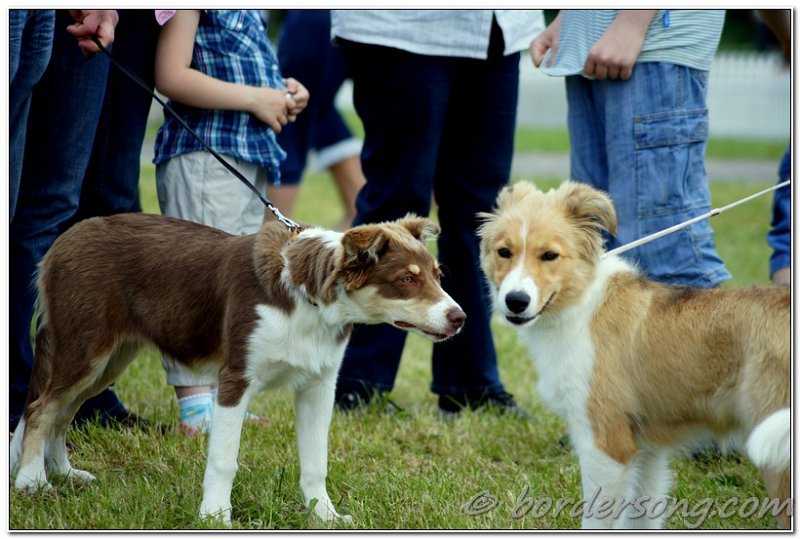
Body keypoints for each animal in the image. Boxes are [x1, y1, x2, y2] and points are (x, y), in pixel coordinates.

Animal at [10, 213, 468, 524]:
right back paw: (33, 482)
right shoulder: (235, 380)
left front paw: (324, 515)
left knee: (61, 411)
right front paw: (214, 516)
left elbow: (316, 461)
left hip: (108, 359)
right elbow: (224, 459)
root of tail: (63, 240)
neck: (308, 300)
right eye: (406, 280)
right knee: (41, 409)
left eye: (437, 274)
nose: (460, 318)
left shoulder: (320, 386)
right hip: (84, 348)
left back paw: (64, 473)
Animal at [478, 182, 792, 532]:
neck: (580, 300)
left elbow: (596, 520)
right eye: (504, 252)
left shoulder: (605, 444)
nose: (515, 301)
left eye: (549, 255)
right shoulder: (647, 449)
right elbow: (642, 514)